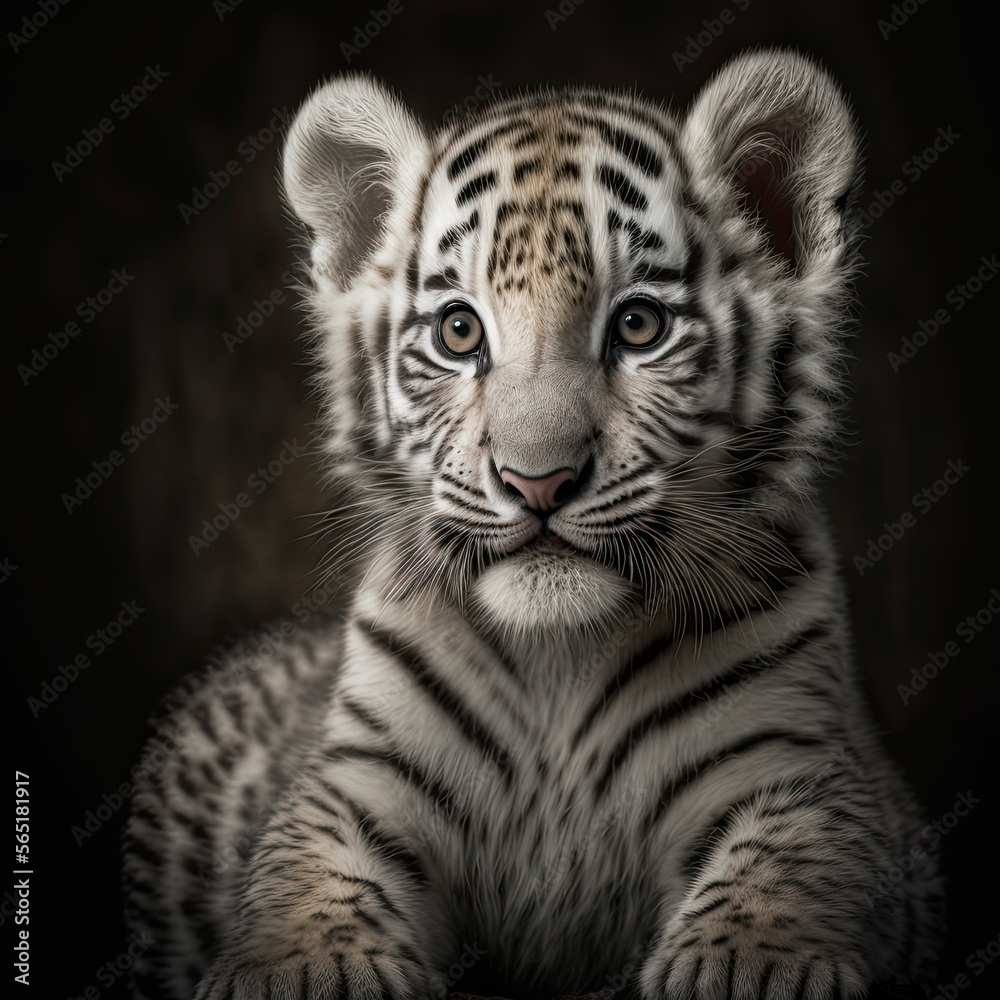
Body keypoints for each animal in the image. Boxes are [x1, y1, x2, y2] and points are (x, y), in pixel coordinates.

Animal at [122, 48, 944, 1000]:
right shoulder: (358, 784)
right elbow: (310, 878)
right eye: (458, 331)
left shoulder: (800, 769)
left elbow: (790, 865)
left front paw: (752, 961)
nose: (536, 480)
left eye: (638, 324)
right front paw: (305, 966)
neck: (561, 659)